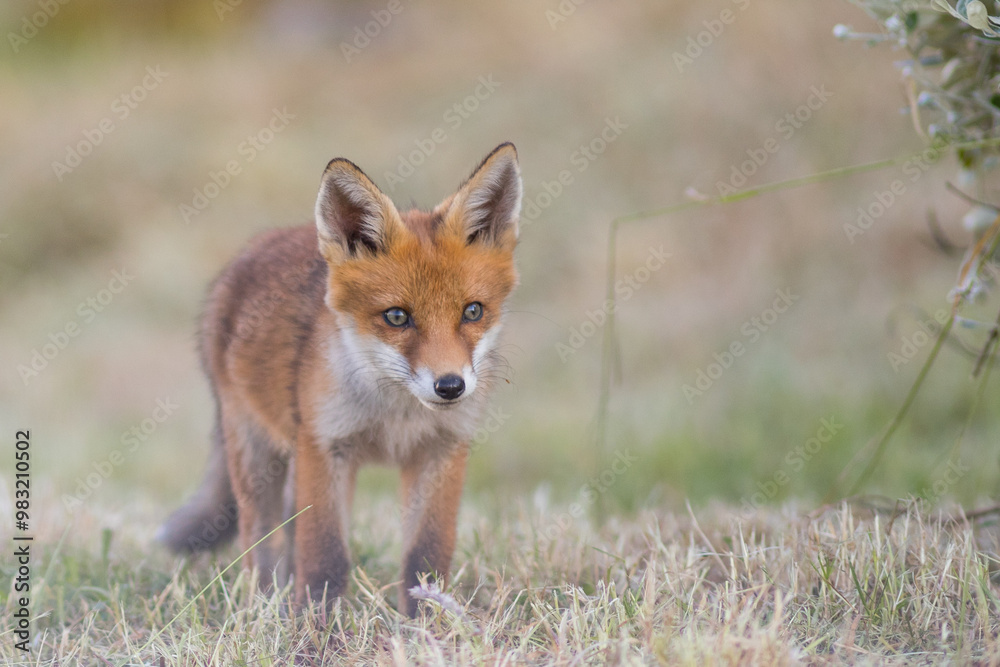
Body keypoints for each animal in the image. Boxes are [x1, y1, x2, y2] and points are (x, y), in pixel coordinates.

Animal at [158, 143, 521, 616]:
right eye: (397, 317)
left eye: (472, 311)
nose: (450, 386)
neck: (396, 417)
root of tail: (259, 245)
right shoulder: (325, 445)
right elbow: (325, 556)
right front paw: (316, 624)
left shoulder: (442, 450)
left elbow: (426, 556)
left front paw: (428, 623)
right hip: (256, 454)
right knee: (260, 541)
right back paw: (264, 606)